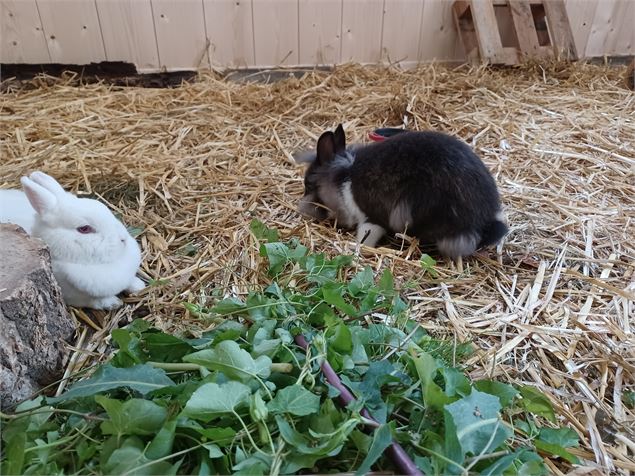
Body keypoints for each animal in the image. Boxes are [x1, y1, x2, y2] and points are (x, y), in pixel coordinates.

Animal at [0, 171, 145, 308]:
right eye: (84, 229)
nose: (123, 239)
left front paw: (139, 285)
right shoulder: (72, 295)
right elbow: (93, 301)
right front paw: (113, 303)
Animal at [296, 122, 510, 256]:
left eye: (309, 185)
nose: (302, 209)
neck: (342, 178)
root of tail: (483, 221)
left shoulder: (371, 219)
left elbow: (366, 236)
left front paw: (359, 249)